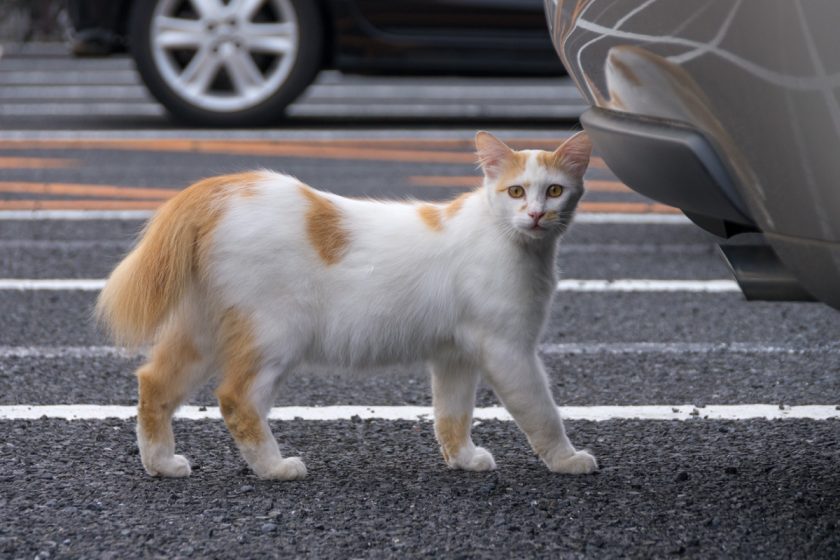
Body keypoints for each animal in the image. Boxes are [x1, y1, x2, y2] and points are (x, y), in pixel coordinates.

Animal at [97, 132, 596, 482]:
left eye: (554, 191)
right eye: (516, 192)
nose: (536, 215)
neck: (505, 235)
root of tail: (220, 188)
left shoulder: (454, 355)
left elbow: (451, 415)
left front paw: (464, 459)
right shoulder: (509, 351)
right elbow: (542, 412)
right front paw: (567, 459)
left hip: (201, 331)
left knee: (154, 383)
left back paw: (161, 464)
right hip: (275, 334)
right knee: (236, 399)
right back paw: (274, 468)